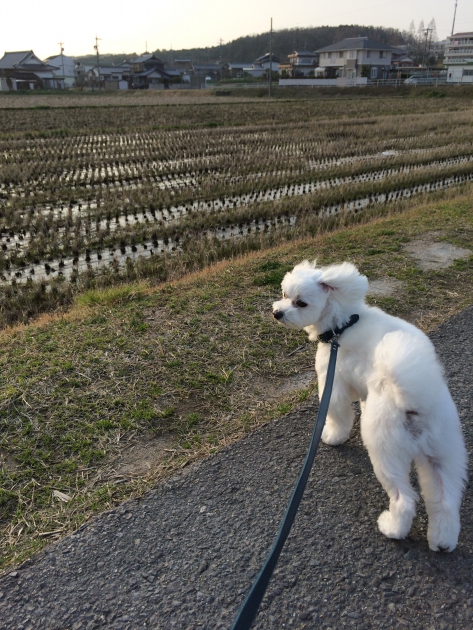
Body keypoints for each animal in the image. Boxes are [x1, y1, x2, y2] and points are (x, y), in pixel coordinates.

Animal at [272, 262, 466, 552]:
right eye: (284, 293)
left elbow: (338, 416)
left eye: (301, 302)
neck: (342, 324)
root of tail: (414, 400)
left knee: (404, 499)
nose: (277, 313)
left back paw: (392, 528)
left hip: (386, 450)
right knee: (445, 500)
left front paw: (332, 437)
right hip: (444, 453)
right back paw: (443, 541)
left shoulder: (333, 384)